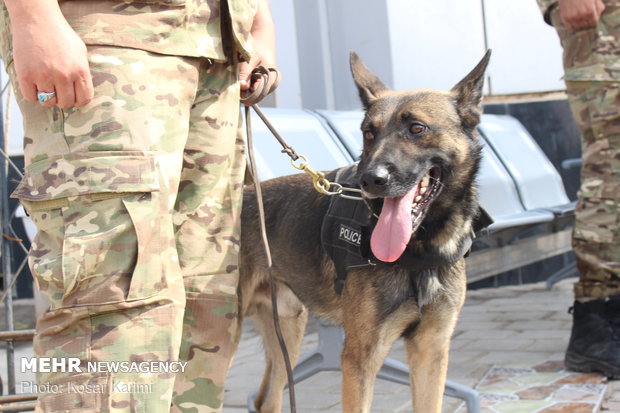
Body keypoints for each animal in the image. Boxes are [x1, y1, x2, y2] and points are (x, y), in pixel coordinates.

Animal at [240, 51, 492, 412]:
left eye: (417, 128)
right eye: (368, 133)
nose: (370, 180)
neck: (420, 250)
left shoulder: (431, 351)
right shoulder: (360, 358)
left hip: (287, 329)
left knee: (266, 399)